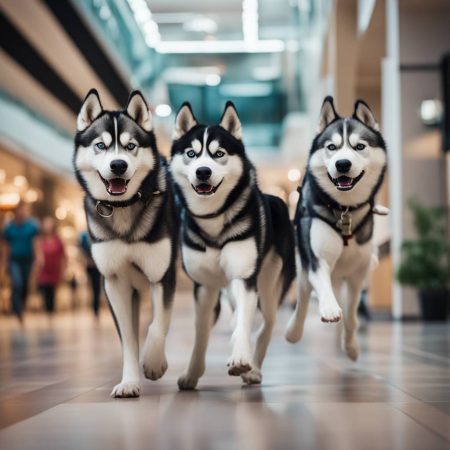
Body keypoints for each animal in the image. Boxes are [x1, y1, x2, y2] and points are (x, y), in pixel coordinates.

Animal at [74, 89, 178, 398]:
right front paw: (130, 381)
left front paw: (153, 362)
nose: (118, 165)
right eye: (100, 145)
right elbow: (128, 338)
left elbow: (158, 324)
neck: (123, 208)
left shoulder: (162, 275)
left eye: (131, 146)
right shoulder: (114, 282)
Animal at [170, 100, 296, 388]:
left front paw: (240, 357)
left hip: (270, 282)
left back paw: (253, 368)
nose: (203, 171)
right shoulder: (204, 287)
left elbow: (245, 323)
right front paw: (192, 373)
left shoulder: (244, 276)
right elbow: (201, 333)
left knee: (266, 322)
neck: (213, 221)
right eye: (191, 154)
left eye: (219, 154)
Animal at [286, 96, 388, 360]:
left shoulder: (357, 274)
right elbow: (321, 283)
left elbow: (352, 315)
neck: (345, 209)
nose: (342, 164)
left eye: (359, 147)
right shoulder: (317, 258)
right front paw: (330, 309)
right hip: (303, 265)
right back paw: (293, 331)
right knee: (302, 299)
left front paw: (351, 347)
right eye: (331, 147)